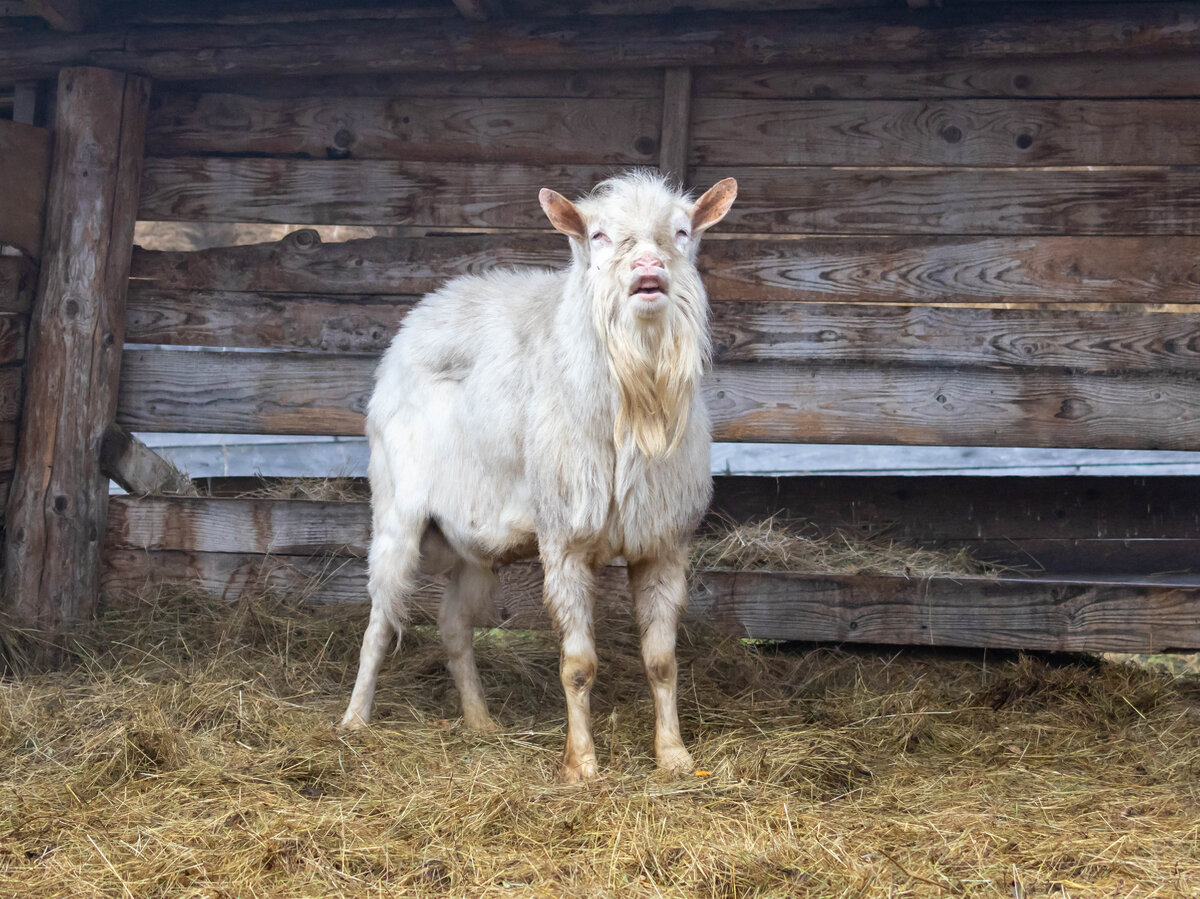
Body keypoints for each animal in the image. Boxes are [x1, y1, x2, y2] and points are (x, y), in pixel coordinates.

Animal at [340, 170, 739, 777]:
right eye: (597, 234)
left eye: (681, 231)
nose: (649, 269)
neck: (633, 404)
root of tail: (424, 312)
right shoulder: (565, 541)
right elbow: (578, 665)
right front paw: (582, 765)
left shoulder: (663, 543)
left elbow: (662, 660)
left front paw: (673, 756)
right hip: (395, 511)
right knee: (381, 621)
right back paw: (354, 720)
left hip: (472, 541)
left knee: (453, 625)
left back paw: (480, 721)